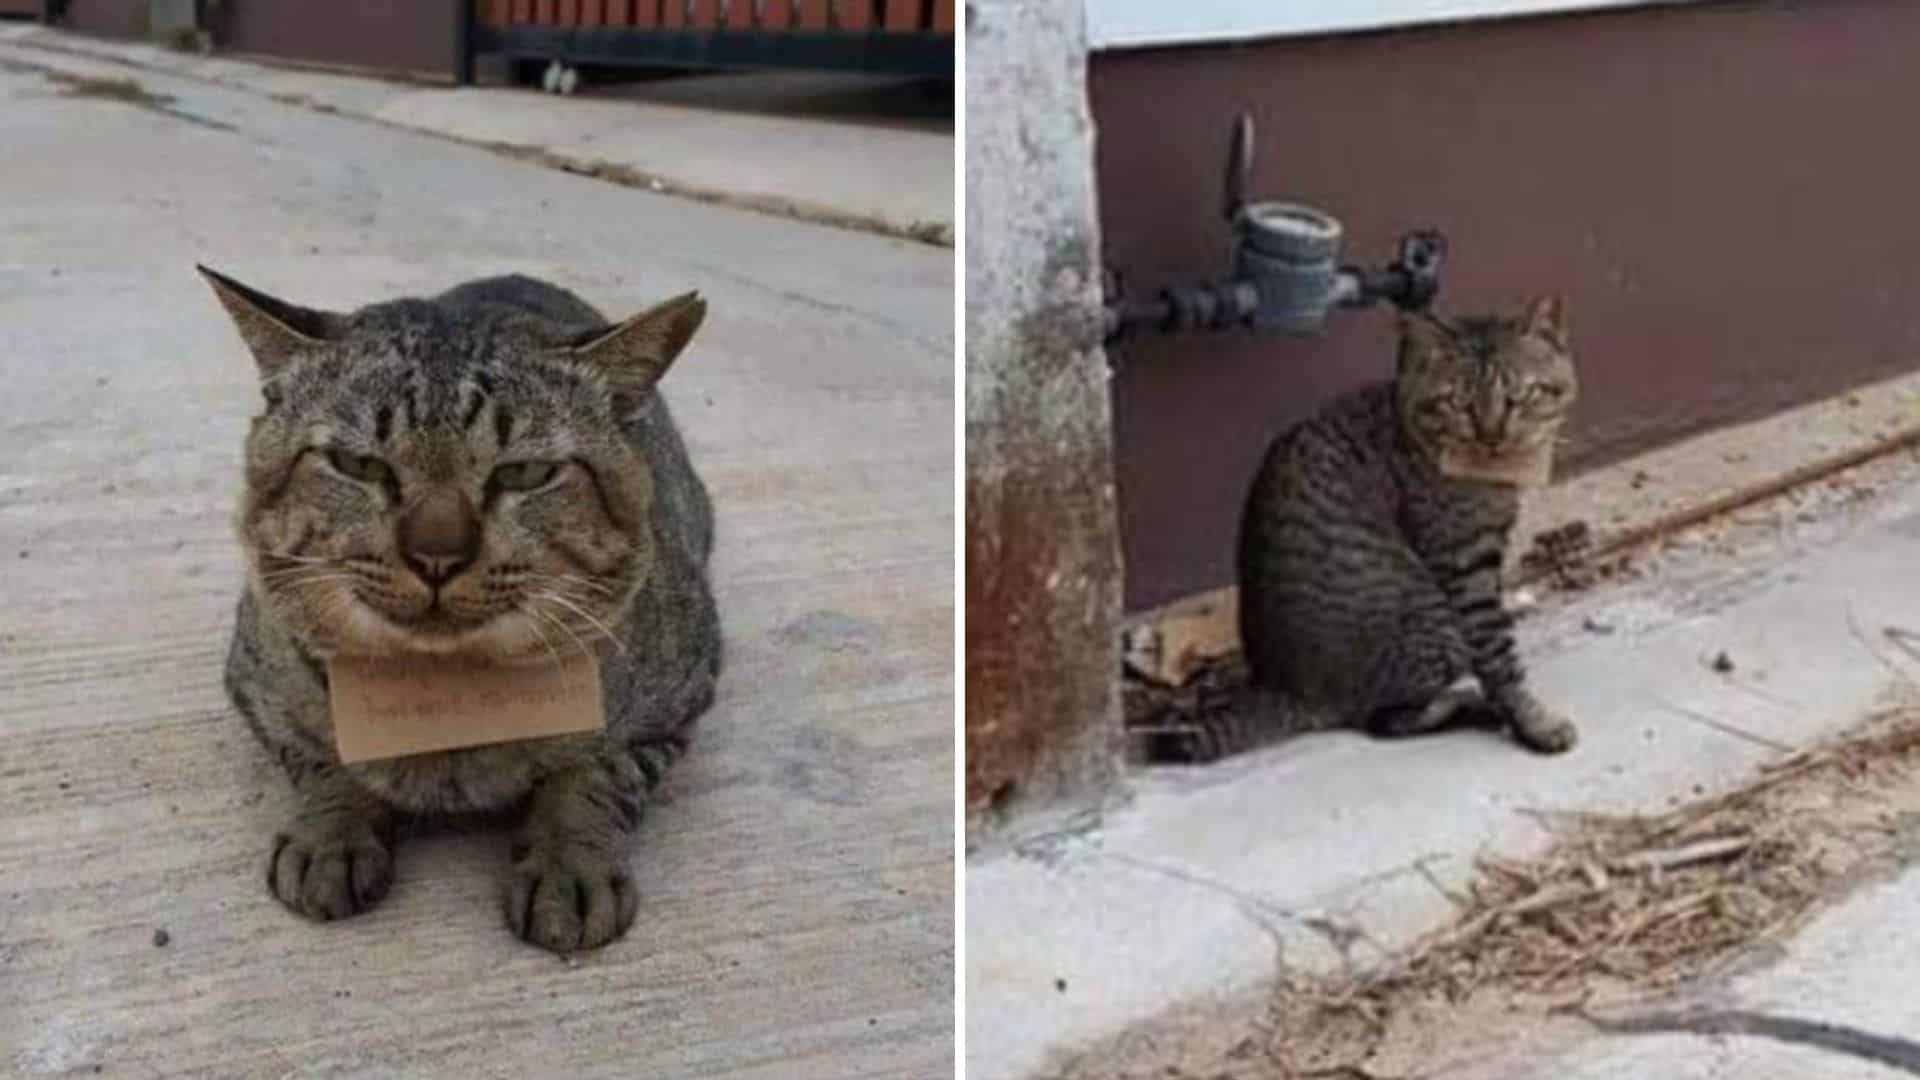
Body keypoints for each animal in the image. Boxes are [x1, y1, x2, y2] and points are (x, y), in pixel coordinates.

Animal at [206, 269, 721, 949]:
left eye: (525, 473)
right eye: (356, 464)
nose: (436, 555)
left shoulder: (680, 699)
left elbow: (594, 776)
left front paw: (569, 862)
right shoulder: (254, 683)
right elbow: (321, 757)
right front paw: (331, 831)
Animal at [1152, 295, 1574, 757]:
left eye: (1519, 396)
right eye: (1458, 403)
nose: (1491, 434)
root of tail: (1284, 688)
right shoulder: (1465, 561)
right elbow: (1498, 653)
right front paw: (1532, 722)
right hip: (1432, 613)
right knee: (1386, 718)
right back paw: (1472, 702)